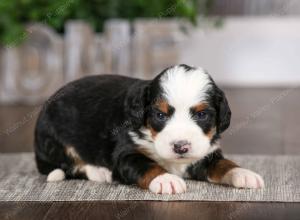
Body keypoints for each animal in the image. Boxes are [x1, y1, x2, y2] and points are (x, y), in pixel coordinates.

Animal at [35, 64, 264, 193]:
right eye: (160, 115)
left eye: (201, 115)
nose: (181, 146)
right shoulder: (126, 153)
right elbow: (146, 164)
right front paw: (166, 179)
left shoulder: (206, 153)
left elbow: (224, 163)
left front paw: (243, 173)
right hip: (54, 139)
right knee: (68, 165)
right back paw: (100, 172)